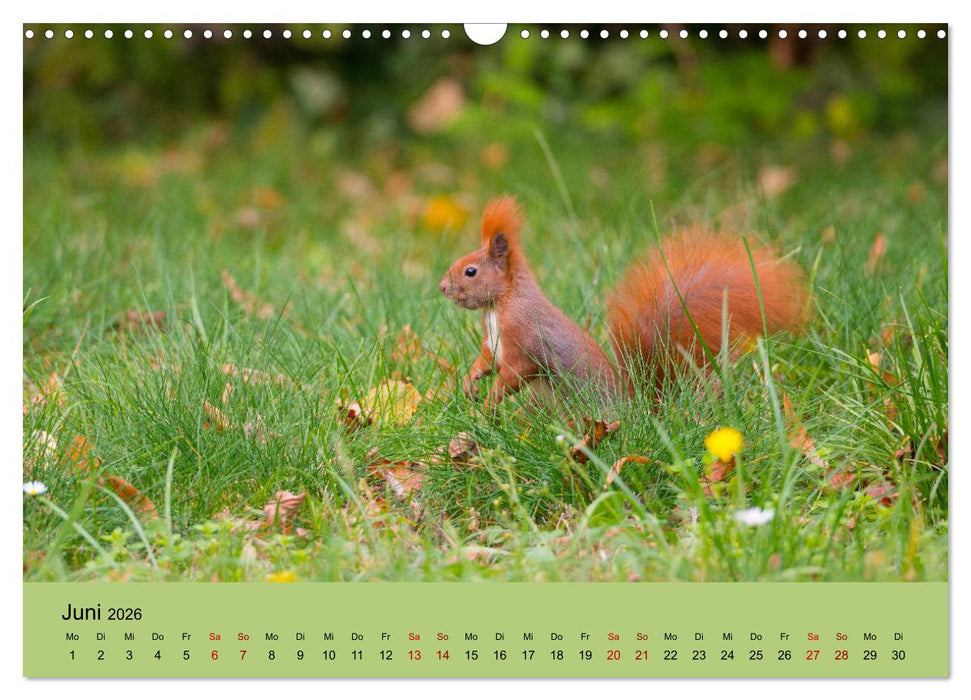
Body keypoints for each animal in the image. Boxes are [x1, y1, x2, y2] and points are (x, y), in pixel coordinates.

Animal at [438, 196, 809, 408]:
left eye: (470, 271)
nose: (442, 287)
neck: (499, 305)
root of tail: (639, 412)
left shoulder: (524, 340)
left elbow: (515, 373)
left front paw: (489, 404)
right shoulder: (493, 342)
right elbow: (486, 360)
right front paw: (470, 383)